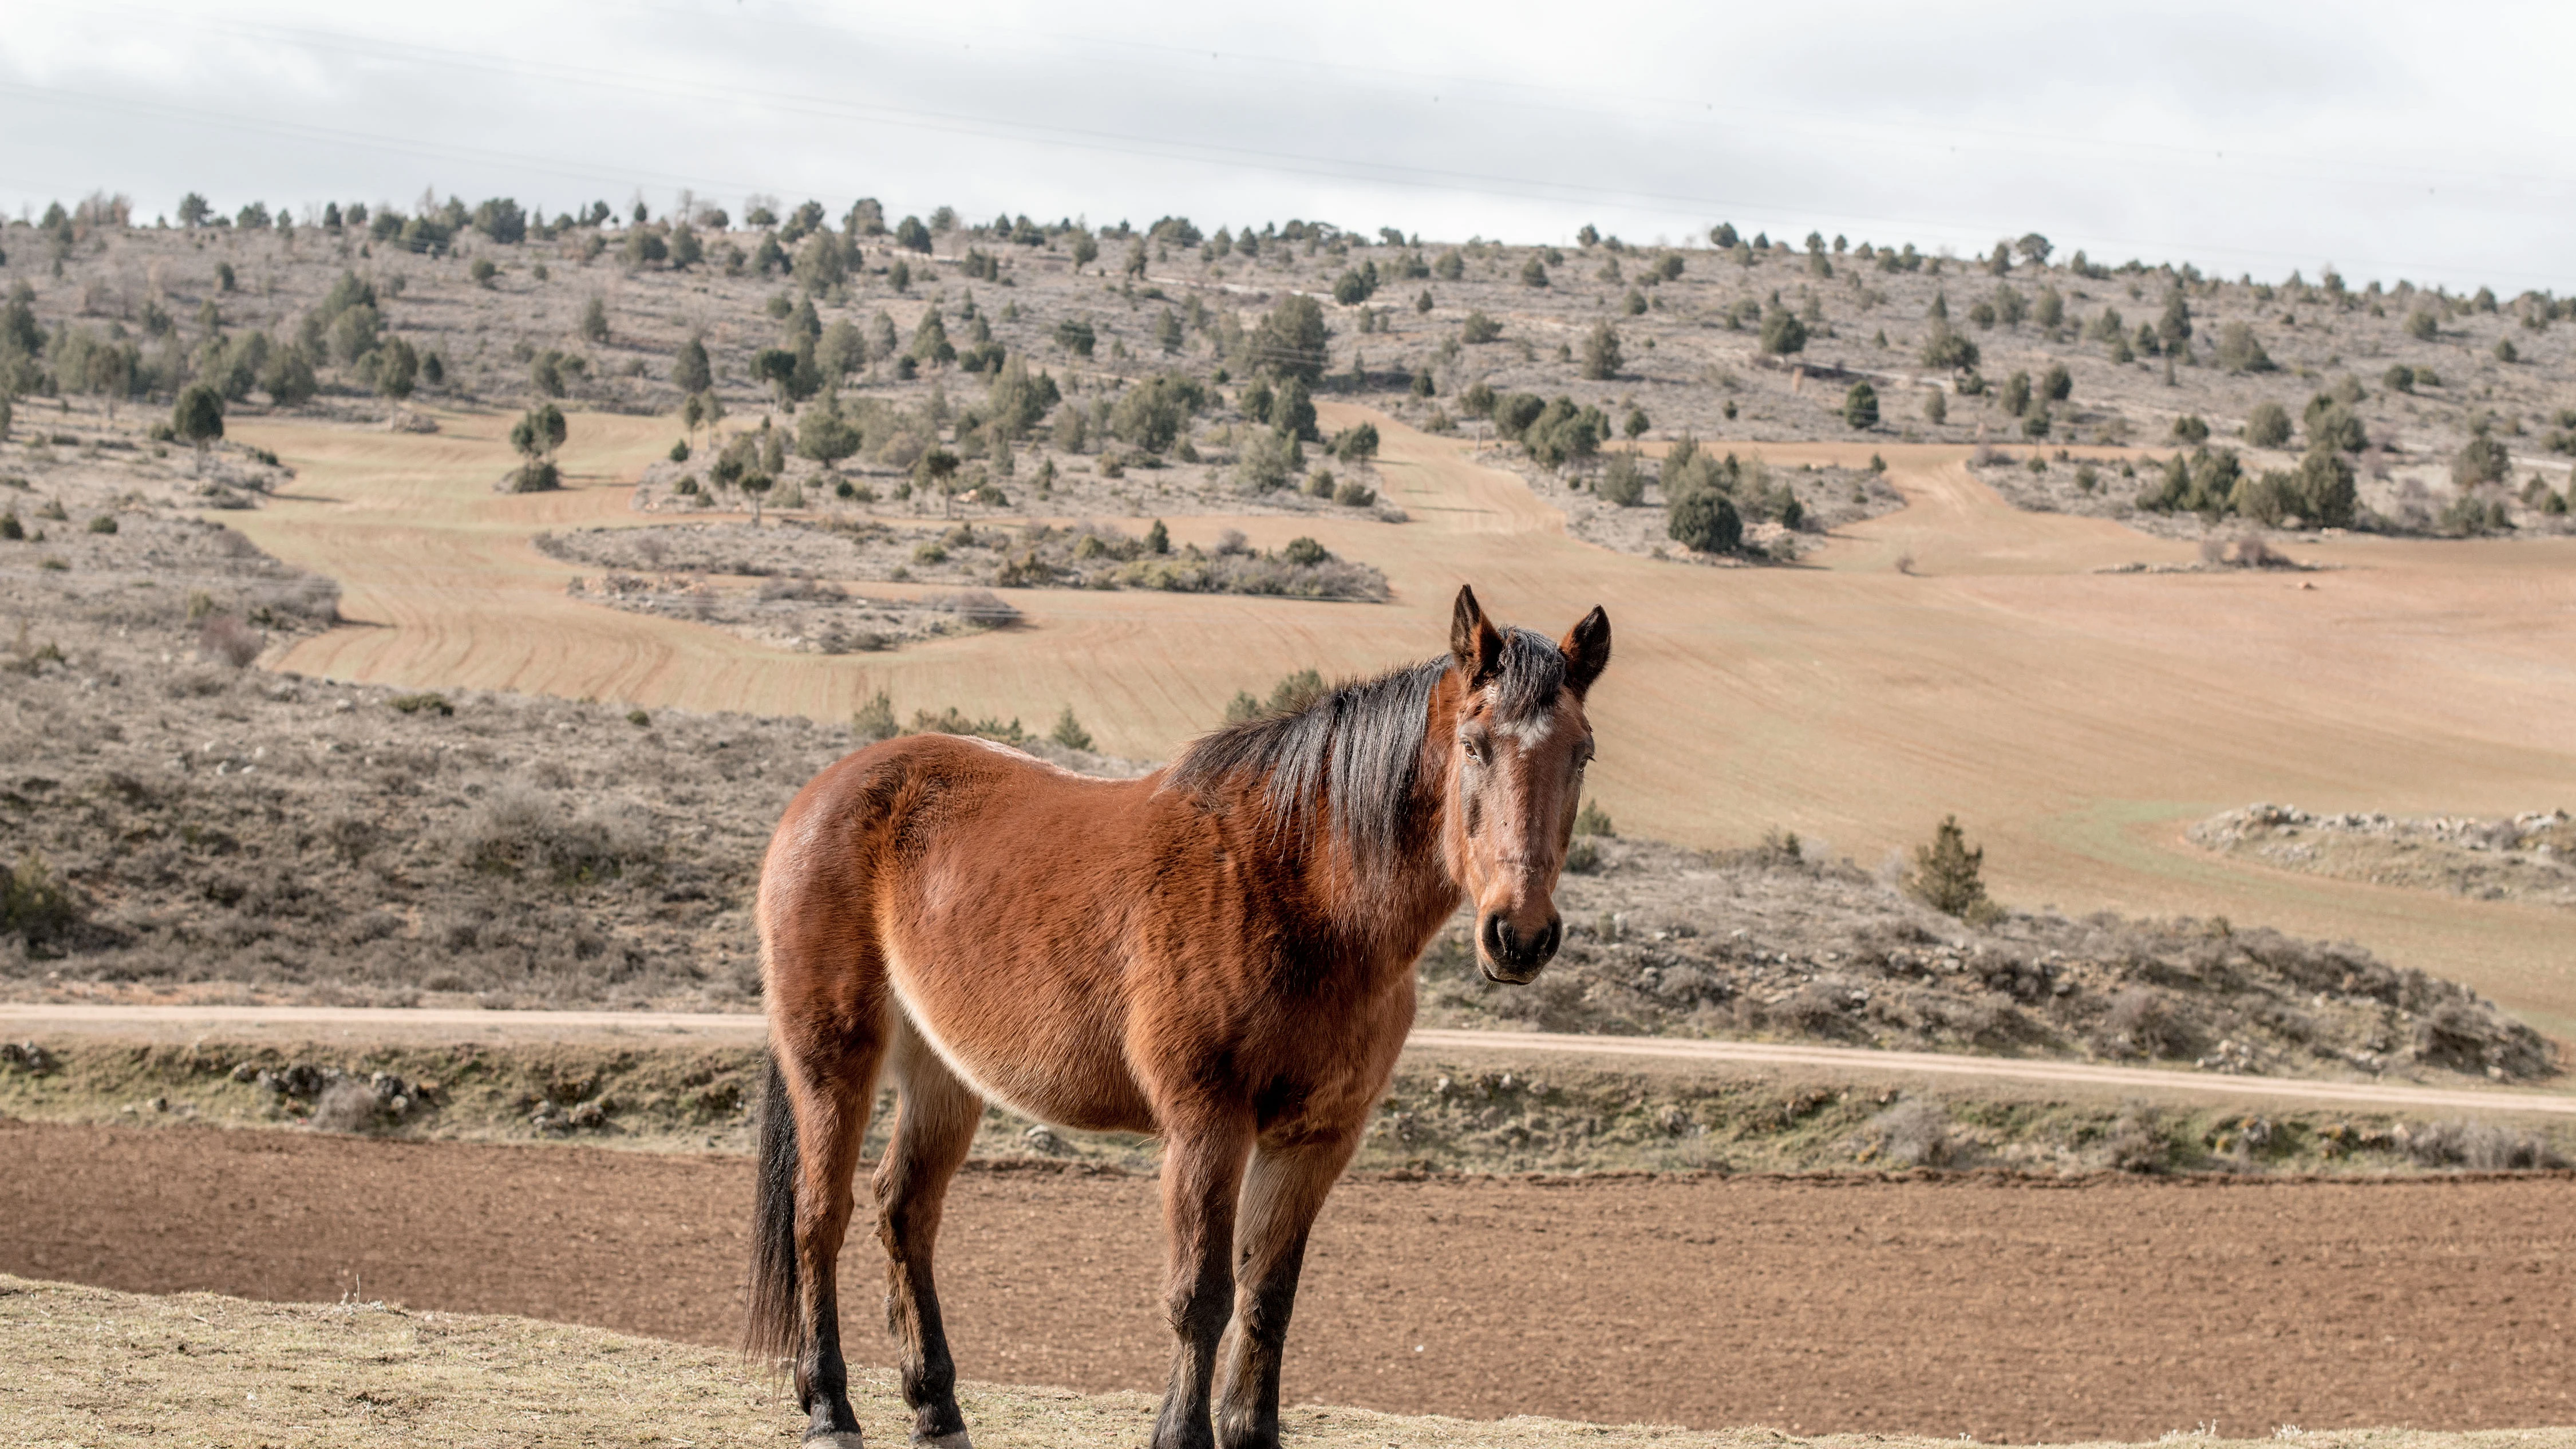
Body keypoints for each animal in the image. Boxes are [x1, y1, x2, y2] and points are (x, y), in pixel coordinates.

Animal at [737, 582, 1607, 1443]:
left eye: (1582, 753)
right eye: (1475, 744)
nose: (1520, 933)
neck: (1300, 892)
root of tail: (822, 792)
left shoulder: (1316, 1140)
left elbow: (1269, 1297)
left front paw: (1250, 1429)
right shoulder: (1206, 1126)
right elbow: (1203, 1296)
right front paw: (1180, 1431)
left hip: (944, 1074)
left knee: (904, 1211)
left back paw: (936, 1407)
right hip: (832, 1058)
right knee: (819, 1214)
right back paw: (830, 1407)